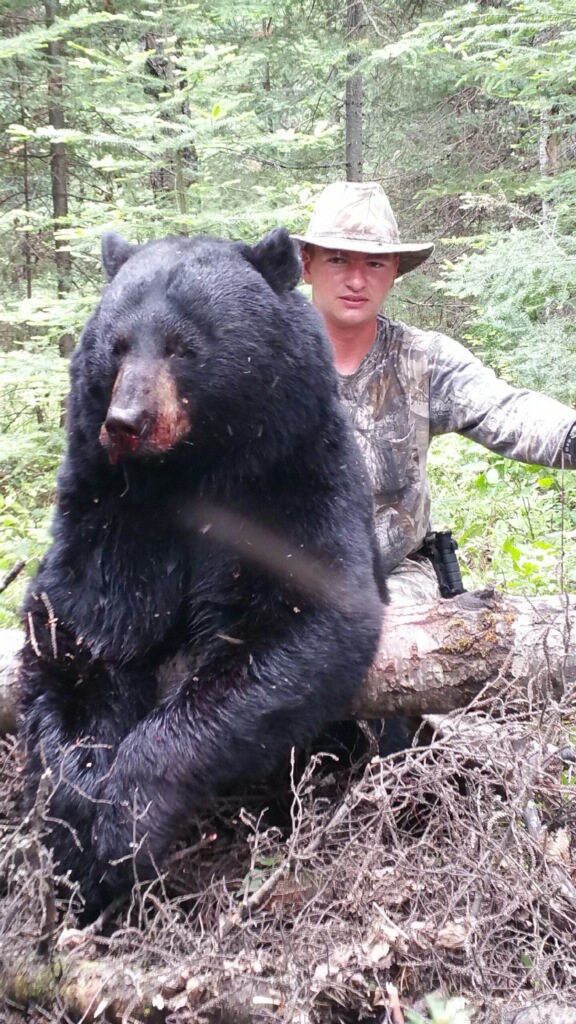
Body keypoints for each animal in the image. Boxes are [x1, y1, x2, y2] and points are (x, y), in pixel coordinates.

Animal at [19, 227, 386, 915]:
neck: (188, 469)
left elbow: (299, 622)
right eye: (114, 346)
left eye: (183, 347)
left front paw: (127, 819)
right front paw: (80, 812)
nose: (125, 423)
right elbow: (80, 630)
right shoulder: (113, 512)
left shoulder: (290, 480)